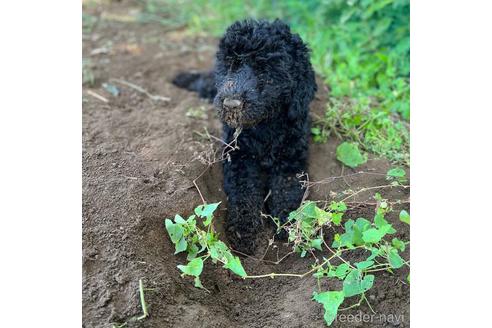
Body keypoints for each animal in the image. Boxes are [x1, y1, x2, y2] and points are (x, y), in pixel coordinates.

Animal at [174, 18, 320, 254]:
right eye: (230, 65)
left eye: (265, 70)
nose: (230, 104)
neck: (264, 127)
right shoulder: (239, 158)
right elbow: (243, 192)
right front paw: (244, 232)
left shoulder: (292, 157)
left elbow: (288, 188)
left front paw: (289, 225)